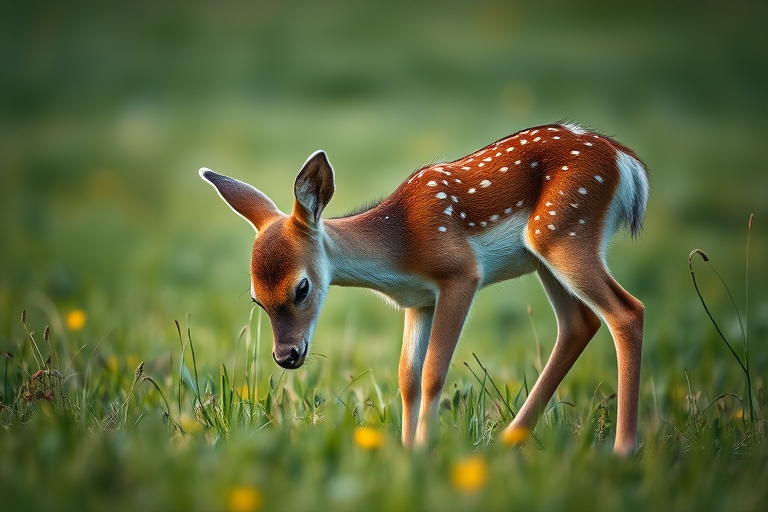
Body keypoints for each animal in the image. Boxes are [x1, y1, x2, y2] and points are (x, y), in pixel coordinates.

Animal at [199, 122, 649, 455]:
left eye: (302, 288)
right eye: (256, 298)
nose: (285, 356)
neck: (401, 245)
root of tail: (627, 162)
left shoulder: (461, 275)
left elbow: (434, 372)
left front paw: (425, 452)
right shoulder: (419, 302)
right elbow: (407, 378)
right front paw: (408, 451)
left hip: (566, 230)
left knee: (628, 311)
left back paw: (623, 449)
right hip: (546, 253)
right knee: (579, 323)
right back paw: (509, 442)